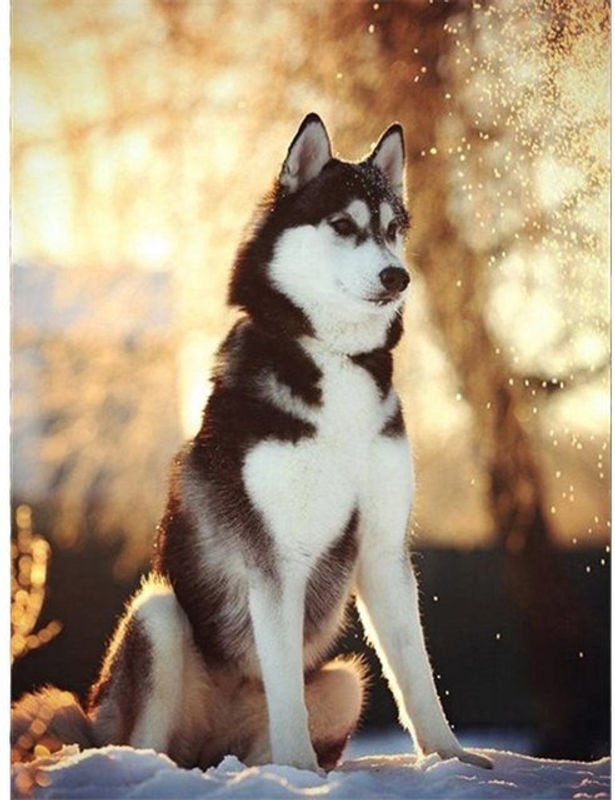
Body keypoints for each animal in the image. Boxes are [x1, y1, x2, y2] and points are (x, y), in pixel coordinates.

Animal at [12, 114, 491, 773]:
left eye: (393, 230)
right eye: (343, 225)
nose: (398, 277)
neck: (333, 360)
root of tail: (209, 752)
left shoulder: (383, 549)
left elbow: (415, 673)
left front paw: (451, 758)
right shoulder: (274, 558)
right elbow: (284, 678)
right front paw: (302, 776)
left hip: (345, 683)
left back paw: (270, 770)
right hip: (157, 617)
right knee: (142, 736)